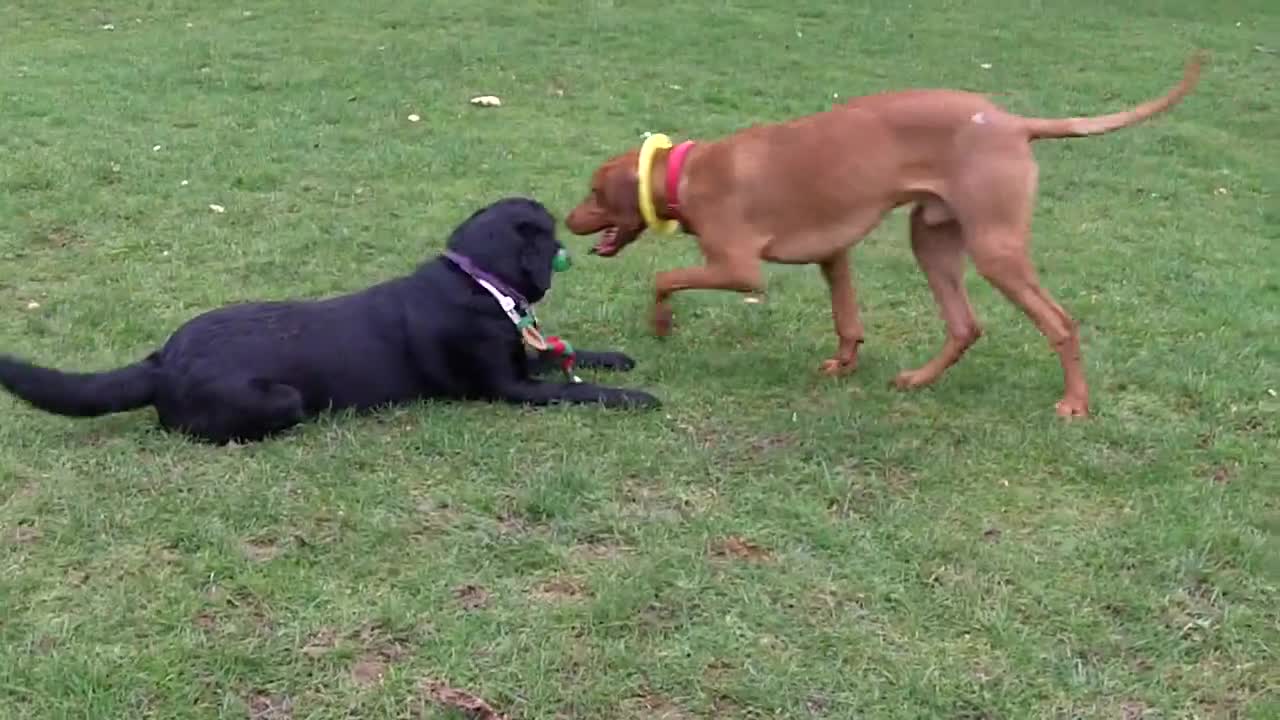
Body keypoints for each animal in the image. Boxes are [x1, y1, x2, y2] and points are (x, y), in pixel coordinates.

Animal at [0, 197, 660, 443]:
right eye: (547, 228)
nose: (573, 237)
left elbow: (573, 355)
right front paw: (635, 396)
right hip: (281, 399)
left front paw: (616, 358)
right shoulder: (509, 388)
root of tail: (162, 361)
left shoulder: (524, 358)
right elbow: (580, 390)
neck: (477, 280)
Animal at [565, 53, 1203, 417]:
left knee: (1061, 323)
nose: (566, 221)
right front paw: (844, 365)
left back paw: (1075, 403)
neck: (687, 173)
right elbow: (848, 320)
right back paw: (919, 380)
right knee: (966, 325)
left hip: (995, 250)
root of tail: (1011, 122)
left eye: (594, 193)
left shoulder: (738, 269)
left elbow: (663, 276)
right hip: (932, 238)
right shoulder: (834, 255)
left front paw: (661, 324)